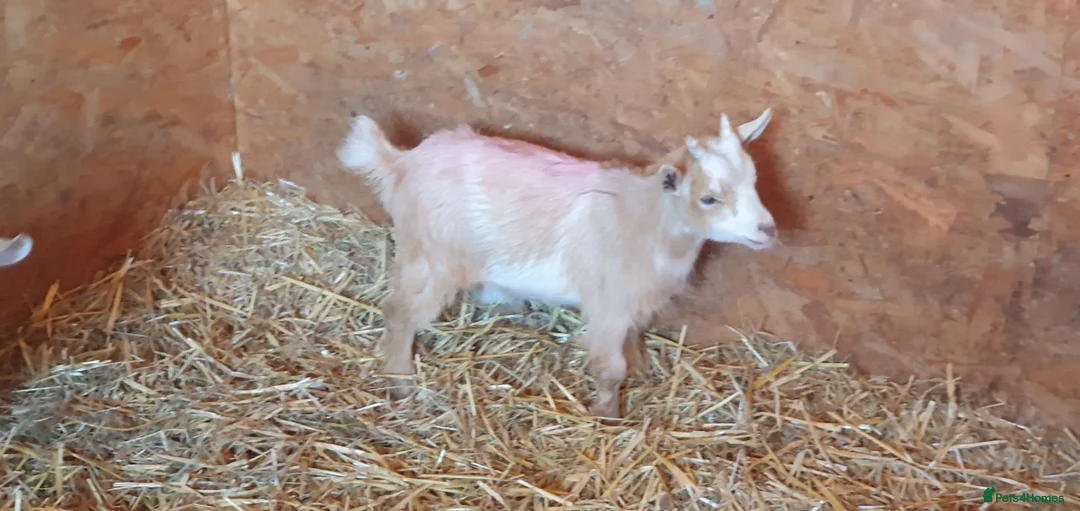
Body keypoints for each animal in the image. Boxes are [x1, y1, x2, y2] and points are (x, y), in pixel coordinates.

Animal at [336, 109, 776, 418]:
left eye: (755, 180)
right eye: (709, 198)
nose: (767, 229)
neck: (642, 216)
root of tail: (401, 162)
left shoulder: (631, 302)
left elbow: (633, 344)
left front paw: (640, 372)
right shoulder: (608, 303)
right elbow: (609, 367)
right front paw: (607, 415)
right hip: (432, 257)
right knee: (399, 312)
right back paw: (401, 383)